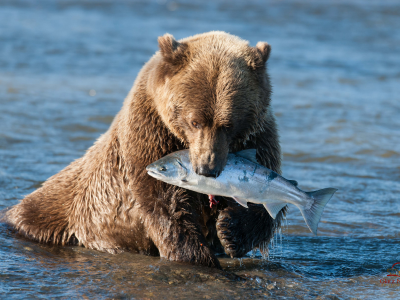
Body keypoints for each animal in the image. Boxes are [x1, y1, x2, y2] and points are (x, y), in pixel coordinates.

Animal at [3, 31, 284, 268]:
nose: (207, 168)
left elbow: (266, 198)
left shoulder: (258, 138)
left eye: (228, 125)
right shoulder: (150, 133)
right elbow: (166, 203)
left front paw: (230, 230)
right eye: (195, 121)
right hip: (61, 210)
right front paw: (197, 256)